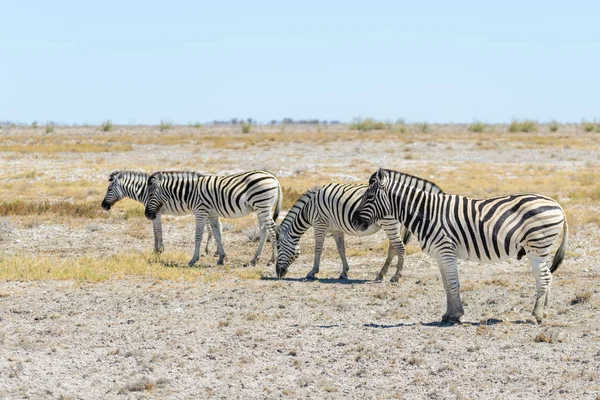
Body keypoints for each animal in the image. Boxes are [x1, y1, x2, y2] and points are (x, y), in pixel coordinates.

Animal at [144, 170, 282, 268]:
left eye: (150, 195)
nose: (147, 215)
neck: (190, 193)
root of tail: (274, 178)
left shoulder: (200, 212)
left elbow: (198, 236)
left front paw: (193, 259)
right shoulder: (212, 215)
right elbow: (217, 235)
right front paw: (221, 258)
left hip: (262, 206)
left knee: (273, 230)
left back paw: (272, 259)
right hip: (261, 209)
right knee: (264, 231)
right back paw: (254, 259)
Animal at [276, 179, 440, 282]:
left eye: (278, 248)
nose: (278, 274)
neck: (308, 209)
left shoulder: (319, 224)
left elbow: (318, 249)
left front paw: (312, 272)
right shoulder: (336, 229)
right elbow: (341, 249)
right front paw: (344, 272)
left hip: (390, 224)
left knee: (400, 248)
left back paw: (396, 276)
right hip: (393, 226)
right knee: (393, 249)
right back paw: (381, 274)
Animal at [354, 167, 568, 324]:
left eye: (369, 197)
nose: (355, 222)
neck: (428, 213)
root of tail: (557, 205)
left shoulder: (446, 251)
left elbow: (453, 283)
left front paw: (456, 315)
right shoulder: (440, 255)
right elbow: (446, 285)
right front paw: (448, 314)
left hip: (537, 248)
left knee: (544, 278)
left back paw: (537, 316)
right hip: (539, 250)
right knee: (547, 276)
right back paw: (544, 312)